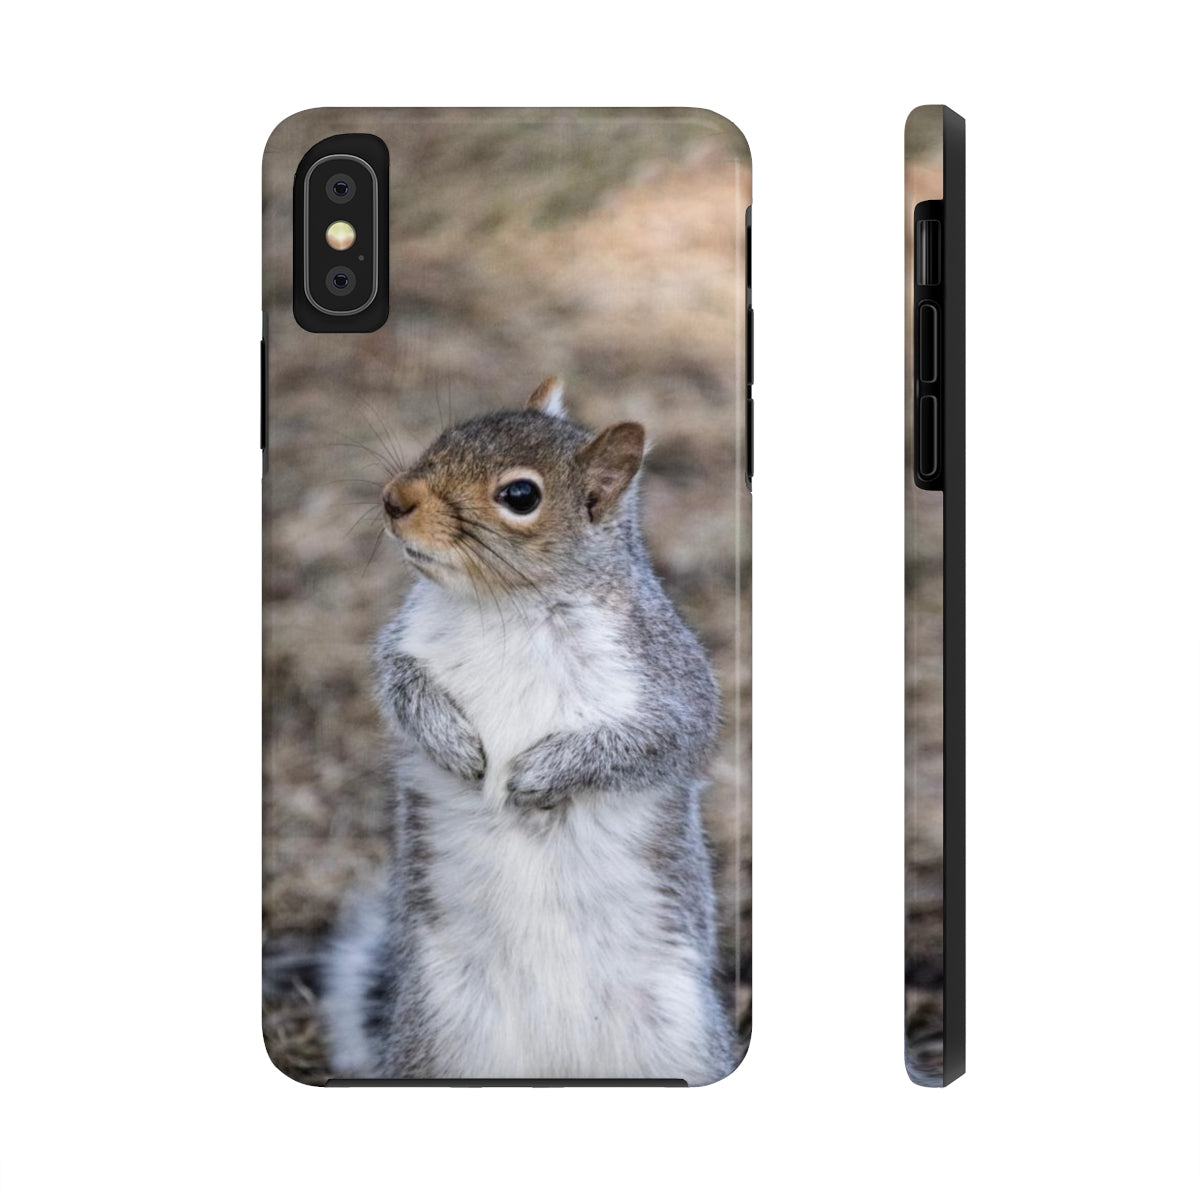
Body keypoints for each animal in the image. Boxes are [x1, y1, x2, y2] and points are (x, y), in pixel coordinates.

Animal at [322, 378, 734, 1084]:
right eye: (446, 436)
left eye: (521, 496)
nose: (394, 500)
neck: (506, 606)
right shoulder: (404, 644)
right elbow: (400, 687)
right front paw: (454, 744)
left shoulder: (667, 682)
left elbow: (656, 742)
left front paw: (540, 775)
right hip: (440, 1039)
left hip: (680, 1038)